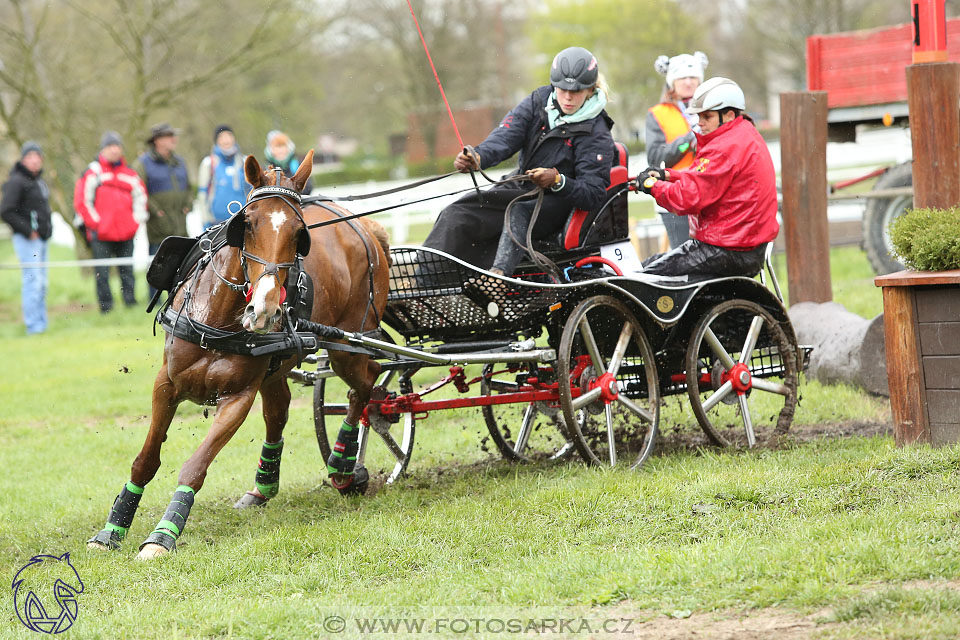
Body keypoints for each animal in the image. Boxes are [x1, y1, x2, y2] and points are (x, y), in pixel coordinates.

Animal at [87, 151, 390, 560]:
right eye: (246, 224)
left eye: (299, 234)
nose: (264, 309)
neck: (216, 320)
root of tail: (365, 227)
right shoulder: (166, 384)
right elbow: (145, 460)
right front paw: (113, 528)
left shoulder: (237, 398)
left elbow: (195, 466)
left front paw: (163, 535)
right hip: (281, 365)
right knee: (280, 409)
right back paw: (264, 486)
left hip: (350, 345)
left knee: (367, 381)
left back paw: (343, 461)